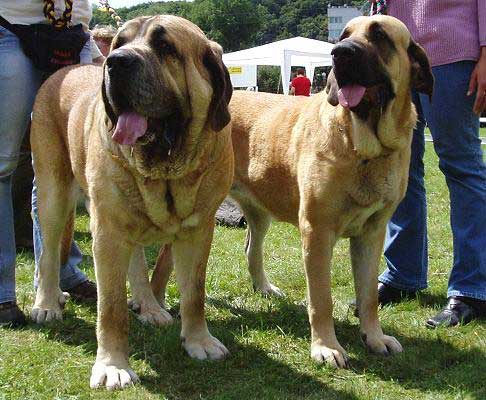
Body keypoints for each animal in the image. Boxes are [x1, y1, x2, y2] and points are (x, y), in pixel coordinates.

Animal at [29, 16, 234, 390]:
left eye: (165, 47)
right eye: (119, 44)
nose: (116, 62)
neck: (165, 171)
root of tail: (61, 72)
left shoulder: (198, 232)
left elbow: (194, 293)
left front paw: (199, 340)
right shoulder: (107, 232)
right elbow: (110, 308)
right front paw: (112, 366)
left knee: (137, 260)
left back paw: (149, 305)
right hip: (53, 193)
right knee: (48, 253)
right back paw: (47, 302)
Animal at [149, 16, 432, 368]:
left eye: (380, 35)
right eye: (344, 35)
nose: (339, 53)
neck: (364, 147)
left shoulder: (372, 233)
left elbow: (368, 296)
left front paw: (375, 337)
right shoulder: (317, 231)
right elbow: (322, 298)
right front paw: (326, 347)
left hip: (257, 212)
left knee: (250, 247)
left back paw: (264, 288)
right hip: (197, 216)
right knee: (165, 261)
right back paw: (154, 305)